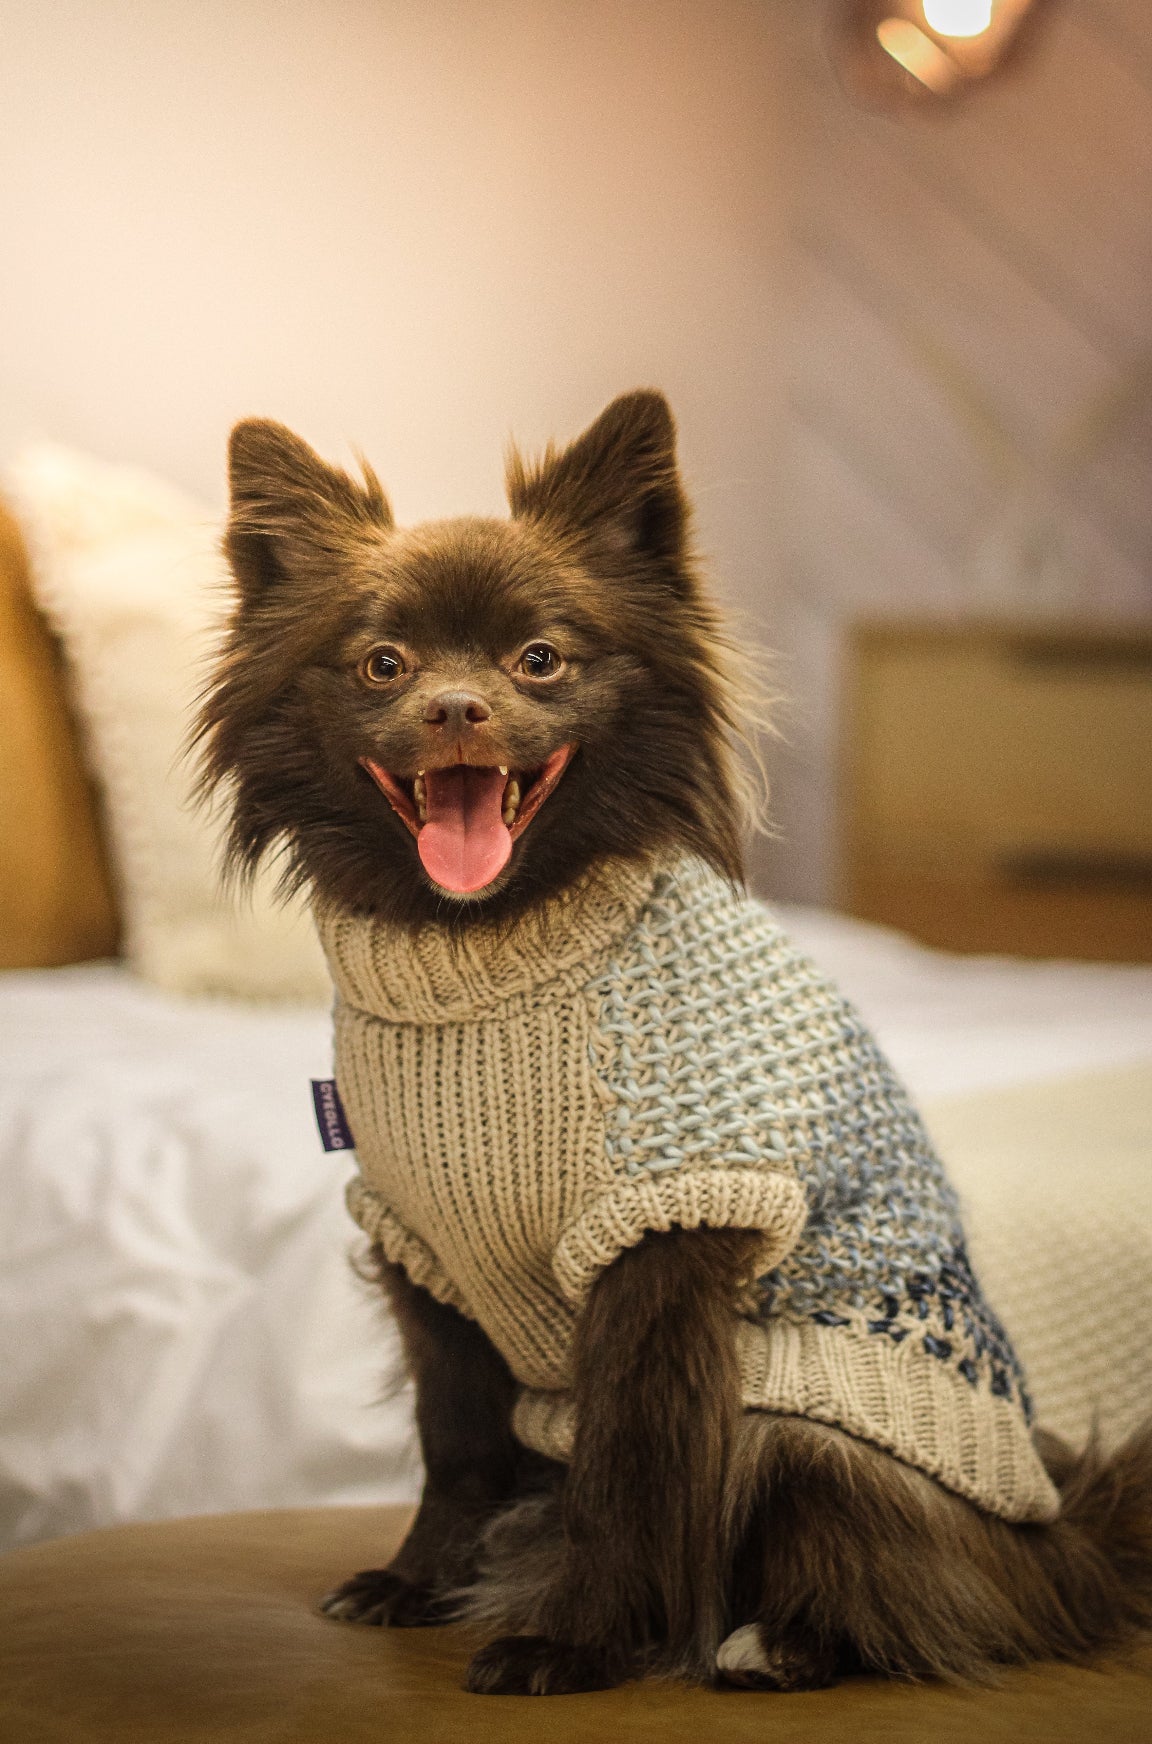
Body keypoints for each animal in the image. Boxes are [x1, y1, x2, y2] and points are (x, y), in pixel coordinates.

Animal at [197, 392, 1150, 1688]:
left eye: (539, 659)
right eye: (383, 663)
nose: (456, 706)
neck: (490, 953)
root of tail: (1069, 1535)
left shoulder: (662, 1248)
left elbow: (634, 1465)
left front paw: (581, 1638)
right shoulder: (421, 1255)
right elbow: (456, 1444)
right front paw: (421, 1579)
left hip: (808, 1422)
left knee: (914, 1581)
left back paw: (778, 1642)